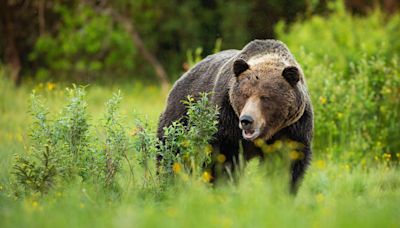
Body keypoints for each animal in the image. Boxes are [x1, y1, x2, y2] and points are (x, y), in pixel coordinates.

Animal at [158, 39, 314, 192]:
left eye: (265, 97)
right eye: (245, 95)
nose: (246, 120)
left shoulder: (293, 128)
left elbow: (287, 162)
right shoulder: (228, 119)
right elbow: (224, 157)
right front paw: (223, 186)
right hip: (182, 117)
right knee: (171, 151)